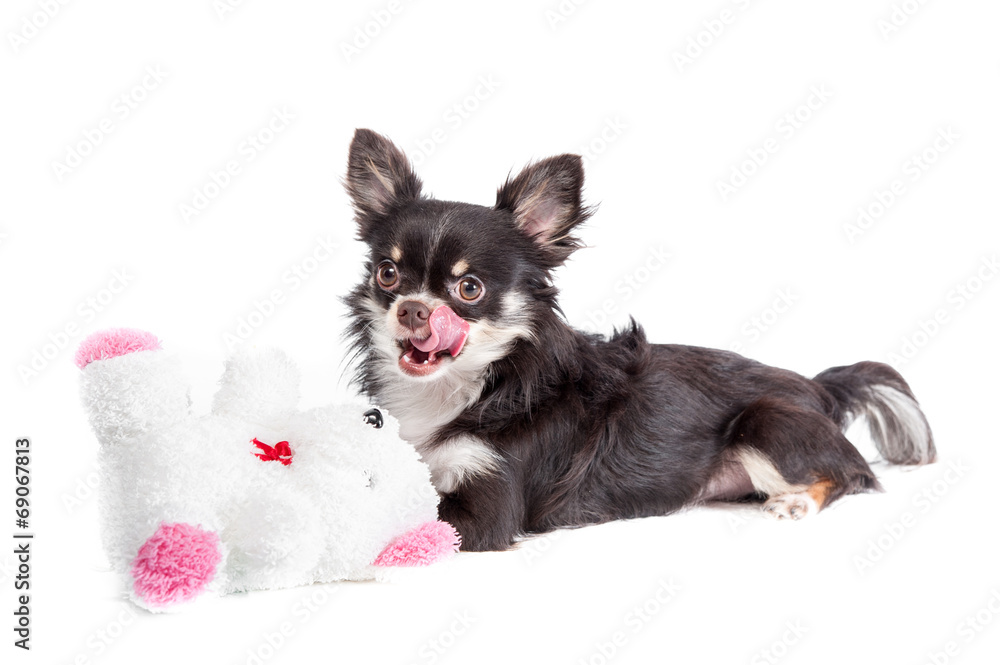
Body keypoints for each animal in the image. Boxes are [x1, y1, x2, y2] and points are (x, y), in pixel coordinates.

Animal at [346, 128, 936, 548]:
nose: (413, 310)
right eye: (388, 275)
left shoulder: (488, 505)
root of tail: (818, 386)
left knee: (850, 473)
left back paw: (797, 502)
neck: (465, 387)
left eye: (469, 288)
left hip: (765, 420)